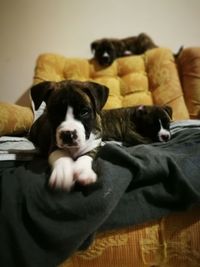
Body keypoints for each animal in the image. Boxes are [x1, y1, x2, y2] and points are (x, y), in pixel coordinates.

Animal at [29, 80, 172, 192]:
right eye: (54, 112)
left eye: (84, 112)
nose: (68, 134)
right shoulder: (54, 144)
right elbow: (61, 155)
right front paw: (63, 174)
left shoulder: (94, 144)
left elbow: (87, 156)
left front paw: (83, 171)